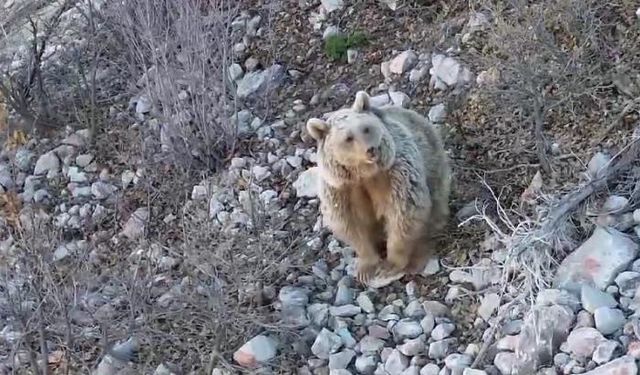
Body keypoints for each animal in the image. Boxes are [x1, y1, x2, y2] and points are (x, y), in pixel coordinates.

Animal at [304, 91, 450, 284]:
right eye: (348, 138)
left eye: (366, 128)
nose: (371, 150)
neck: (364, 173)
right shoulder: (341, 190)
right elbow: (352, 225)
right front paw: (366, 268)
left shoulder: (396, 174)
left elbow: (404, 214)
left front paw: (390, 264)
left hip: (435, 172)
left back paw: (418, 259)